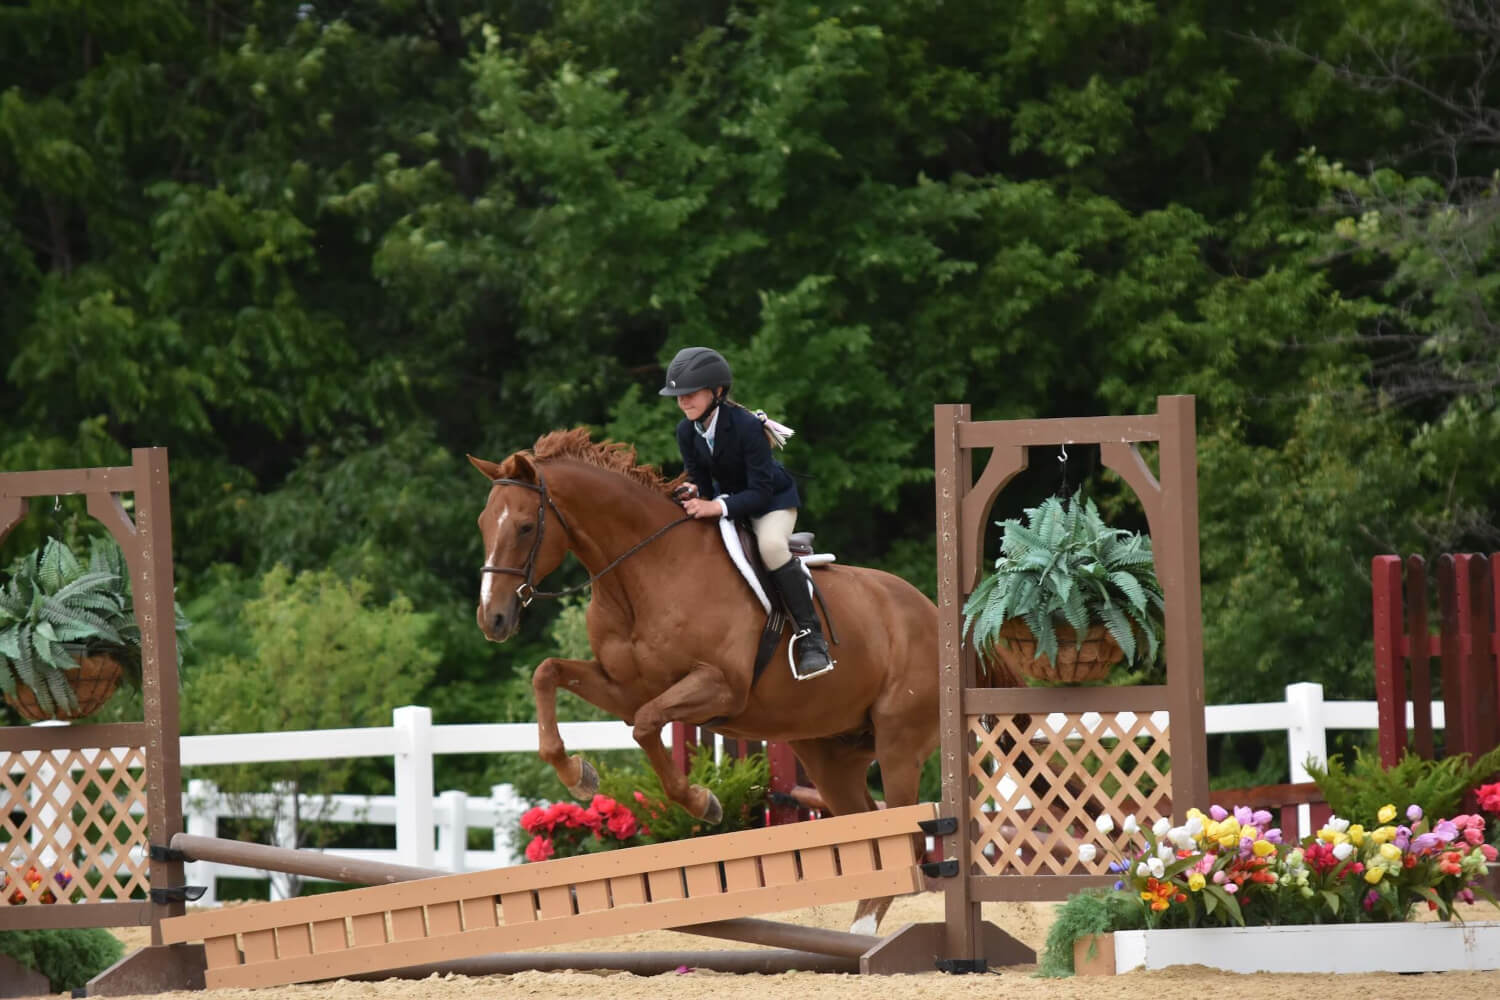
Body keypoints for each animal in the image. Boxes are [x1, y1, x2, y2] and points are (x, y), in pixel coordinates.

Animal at [468, 428, 942, 929]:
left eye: (524, 527)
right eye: (483, 524)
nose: (493, 619)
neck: (645, 573)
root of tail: (933, 613)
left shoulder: (721, 688)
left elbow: (646, 725)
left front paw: (702, 802)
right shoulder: (624, 689)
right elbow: (549, 674)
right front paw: (579, 775)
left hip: (898, 745)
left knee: (906, 835)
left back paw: (865, 930)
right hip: (831, 755)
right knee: (871, 831)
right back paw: (861, 929)